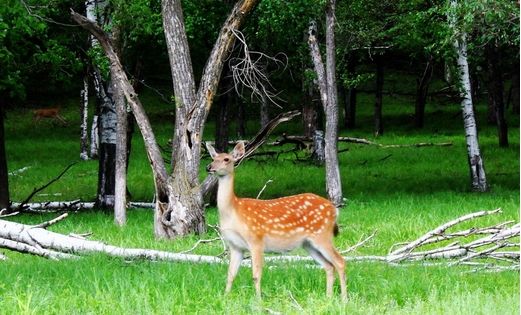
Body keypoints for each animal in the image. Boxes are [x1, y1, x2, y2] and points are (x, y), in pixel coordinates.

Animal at [205, 143, 348, 302]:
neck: (233, 212)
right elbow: (230, 274)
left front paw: (258, 300)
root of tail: (334, 210)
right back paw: (328, 297)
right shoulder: (235, 246)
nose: (209, 167)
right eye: (213, 157)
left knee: (340, 262)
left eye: (226, 159)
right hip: (308, 244)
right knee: (329, 266)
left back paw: (344, 299)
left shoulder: (256, 240)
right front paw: (225, 297)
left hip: (322, 234)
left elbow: (256, 275)